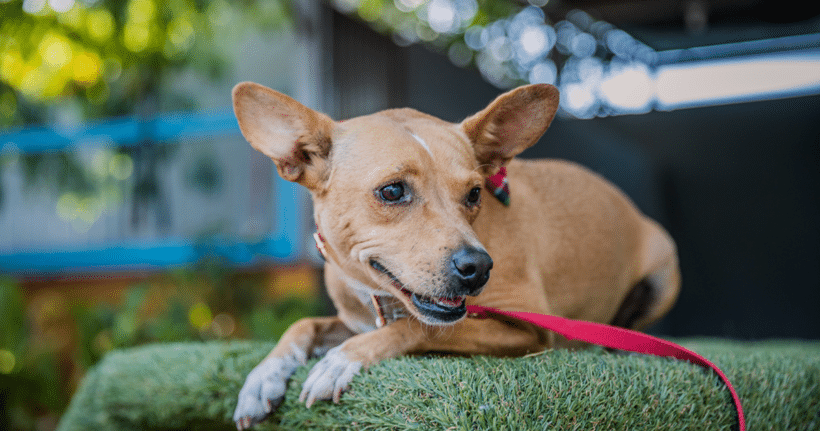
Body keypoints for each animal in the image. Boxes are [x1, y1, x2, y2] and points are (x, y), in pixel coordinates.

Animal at [231, 82, 680, 430]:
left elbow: (422, 330)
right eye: (392, 191)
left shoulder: (529, 329)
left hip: (665, 269)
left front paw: (342, 360)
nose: (478, 268)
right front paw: (263, 377)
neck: (379, 299)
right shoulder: (356, 320)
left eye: (475, 193)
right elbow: (304, 325)